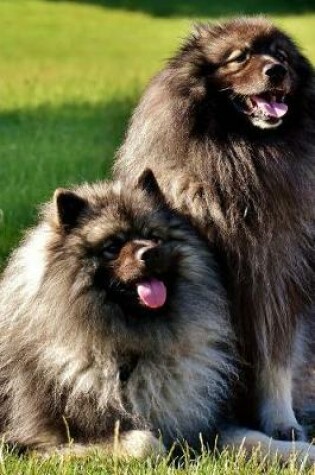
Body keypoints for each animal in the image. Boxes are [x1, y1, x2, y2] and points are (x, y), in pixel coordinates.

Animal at [115, 17, 315, 442]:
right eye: (240, 57)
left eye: (282, 55)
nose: (277, 71)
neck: (242, 156)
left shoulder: (276, 287)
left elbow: (275, 365)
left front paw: (282, 423)